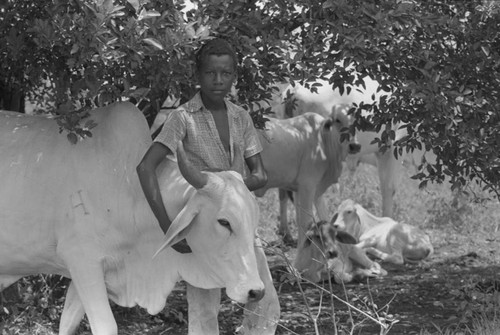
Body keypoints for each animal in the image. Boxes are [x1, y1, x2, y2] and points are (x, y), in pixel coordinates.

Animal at [0, 104, 280, 335]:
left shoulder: (88, 271)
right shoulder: (81, 260)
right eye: (224, 222)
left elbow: (67, 323)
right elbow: (105, 326)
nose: (256, 291)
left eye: (254, 221)